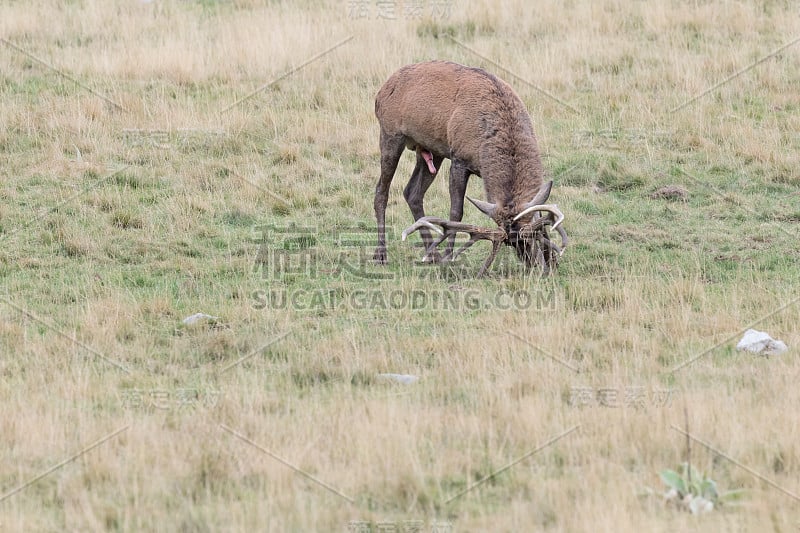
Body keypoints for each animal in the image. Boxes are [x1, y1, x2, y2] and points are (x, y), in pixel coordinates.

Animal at [372, 60, 564, 276]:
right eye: (509, 243)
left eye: (532, 235)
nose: (531, 263)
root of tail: (382, 90)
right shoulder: (459, 159)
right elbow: (456, 212)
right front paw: (448, 257)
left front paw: (553, 261)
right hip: (390, 134)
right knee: (381, 191)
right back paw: (381, 254)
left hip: (431, 150)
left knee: (412, 192)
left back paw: (431, 254)